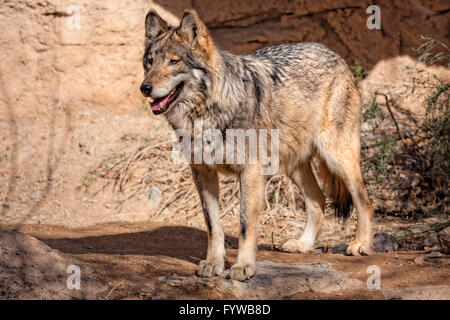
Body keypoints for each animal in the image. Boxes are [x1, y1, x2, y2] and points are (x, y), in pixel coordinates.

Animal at [140, 9, 372, 280]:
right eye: (150, 62)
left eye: (174, 61)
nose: (145, 88)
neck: (205, 113)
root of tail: (335, 54)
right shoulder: (202, 173)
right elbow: (213, 225)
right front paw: (214, 264)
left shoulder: (249, 172)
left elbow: (244, 224)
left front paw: (242, 267)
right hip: (293, 166)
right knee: (318, 199)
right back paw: (303, 245)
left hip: (337, 158)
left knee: (364, 200)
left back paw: (361, 245)